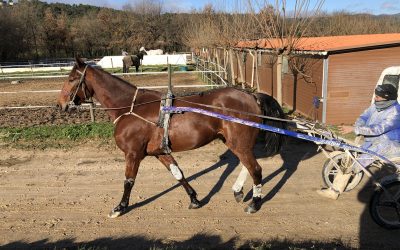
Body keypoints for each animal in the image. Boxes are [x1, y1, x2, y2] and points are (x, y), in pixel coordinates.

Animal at [57, 56, 286, 217]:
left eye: (71, 79)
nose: (60, 105)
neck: (131, 108)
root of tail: (251, 96)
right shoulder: (160, 152)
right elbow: (178, 174)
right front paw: (194, 199)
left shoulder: (133, 153)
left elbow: (128, 181)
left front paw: (120, 207)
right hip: (236, 142)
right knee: (248, 166)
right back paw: (238, 191)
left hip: (239, 143)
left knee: (255, 169)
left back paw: (254, 203)